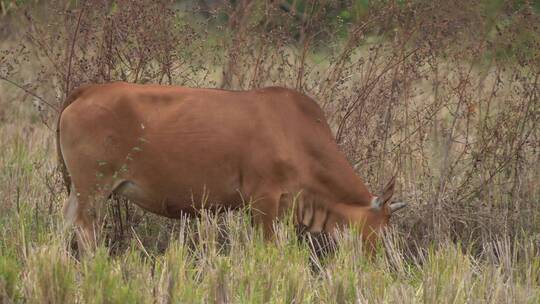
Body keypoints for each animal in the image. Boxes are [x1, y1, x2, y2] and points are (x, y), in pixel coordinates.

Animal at [57, 82, 408, 251]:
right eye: (381, 229)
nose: (377, 264)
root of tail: (88, 90)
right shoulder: (263, 201)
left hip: (82, 190)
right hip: (94, 189)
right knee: (85, 230)